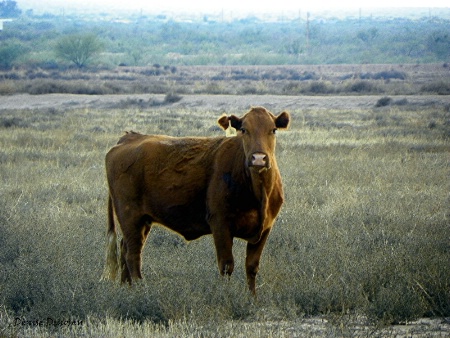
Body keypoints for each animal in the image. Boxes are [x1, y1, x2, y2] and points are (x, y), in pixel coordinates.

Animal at [101, 107, 292, 294]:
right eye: (244, 130)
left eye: (273, 130)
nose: (258, 158)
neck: (258, 192)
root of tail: (128, 138)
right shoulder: (220, 224)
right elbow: (226, 266)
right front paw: (226, 295)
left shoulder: (265, 228)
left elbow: (251, 267)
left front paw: (252, 299)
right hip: (129, 216)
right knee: (132, 254)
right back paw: (140, 289)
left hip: (143, 220)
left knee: (125, 248)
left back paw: (126, 289)